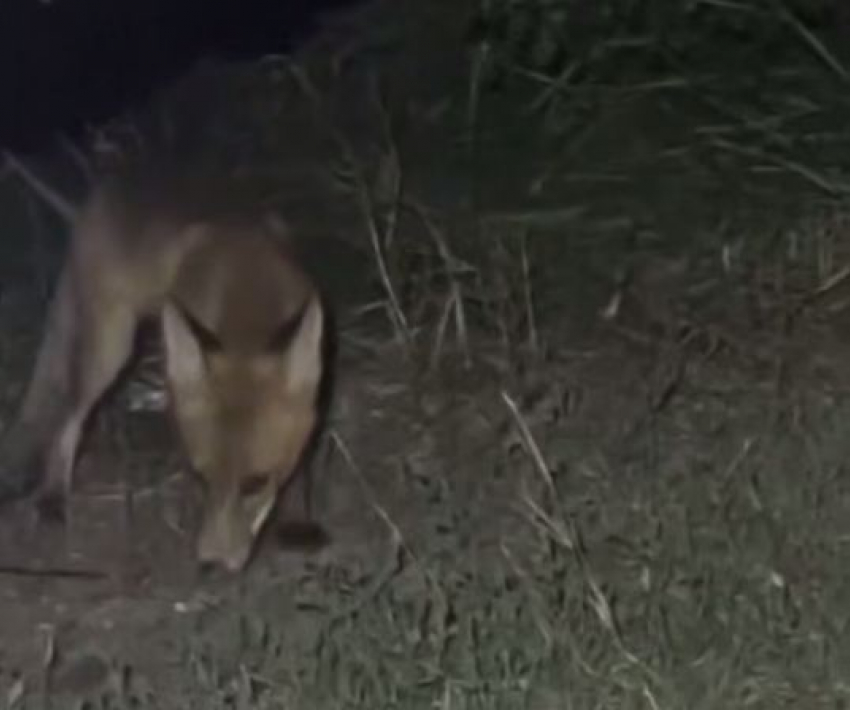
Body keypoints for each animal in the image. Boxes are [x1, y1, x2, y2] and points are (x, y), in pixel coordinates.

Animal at [0, 158, 331, 572]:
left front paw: (299, 518)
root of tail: (107, 186)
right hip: (111, 346)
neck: (246, 284)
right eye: (201, 477)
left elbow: (303, 464)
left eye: (255, 483)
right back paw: (52, 496)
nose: (213, 564)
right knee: (69, 417)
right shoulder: (179, 382)